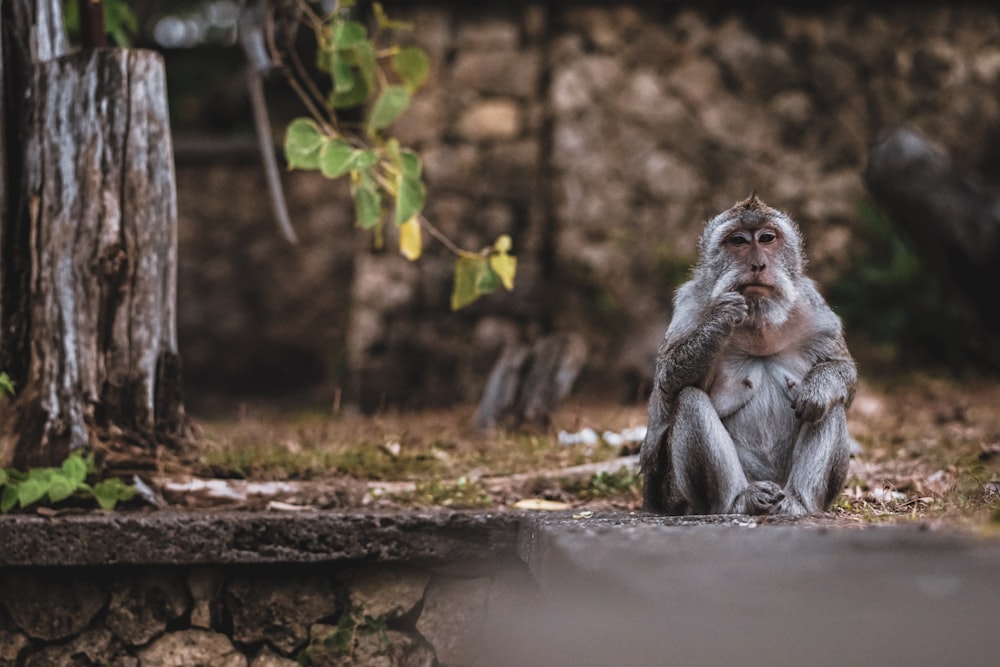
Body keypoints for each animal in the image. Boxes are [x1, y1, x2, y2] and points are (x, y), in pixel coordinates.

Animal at [644, 193, 856, 516]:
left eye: (767, 238)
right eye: (739, 241)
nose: (758, 264)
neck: (758, 324)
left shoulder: (815, 312)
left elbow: (844, 374)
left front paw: (817, 389)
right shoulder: (689, 308)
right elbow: (667, 384)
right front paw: (721, 318)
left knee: (831, 404)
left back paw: (797, 501)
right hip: (677, 495)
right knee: (689, 399)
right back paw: (739, 500)